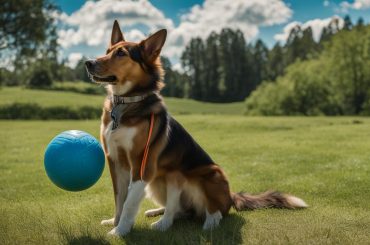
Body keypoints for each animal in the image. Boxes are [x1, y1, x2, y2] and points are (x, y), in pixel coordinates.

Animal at [85, 20, 308, 236]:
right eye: (107, 50)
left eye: (121, 53)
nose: (88, 63)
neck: (126, 103)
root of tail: (231, 196)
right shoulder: (115, 161)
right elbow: (119, 198)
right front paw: (115, 223)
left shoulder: (141, 163)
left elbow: (130, 202)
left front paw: (120, 231)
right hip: (162, 181)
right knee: (177, 210)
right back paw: (160, 218)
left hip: (209, 174)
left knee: (214, 211)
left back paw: (208, 224)